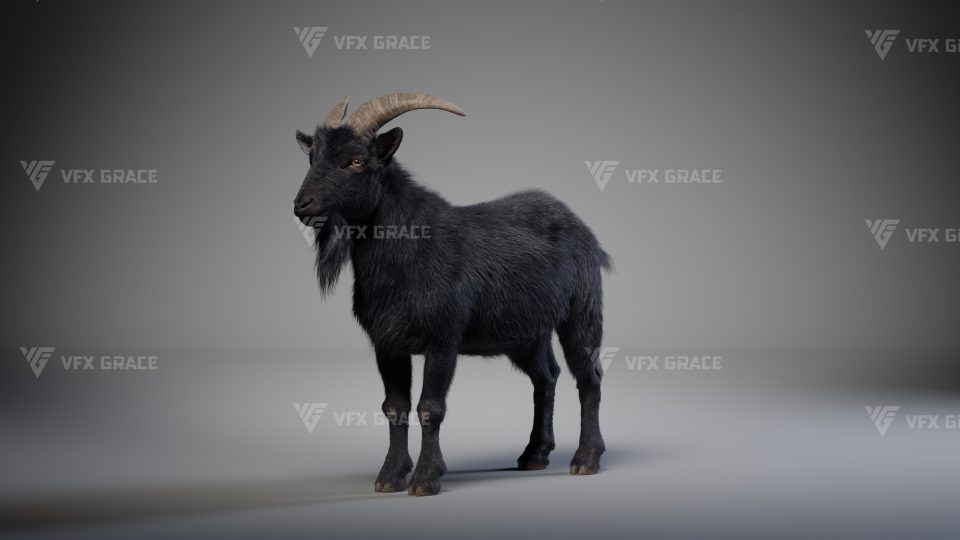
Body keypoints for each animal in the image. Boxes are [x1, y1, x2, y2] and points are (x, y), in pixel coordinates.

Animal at [293, 93, 610, 496]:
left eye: (356, 160)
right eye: (312, 158)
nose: (302, 205)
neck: (409, 249)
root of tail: (583, 230)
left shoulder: (442, 339)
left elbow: (431, 406)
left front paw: (426, 479)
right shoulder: (387, 345)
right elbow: (394, 407)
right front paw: (390, 476)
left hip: (581, 313)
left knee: (589, 377)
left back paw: (586, 459)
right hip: (527, 334)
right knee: (546, 377)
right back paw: (534, 454)